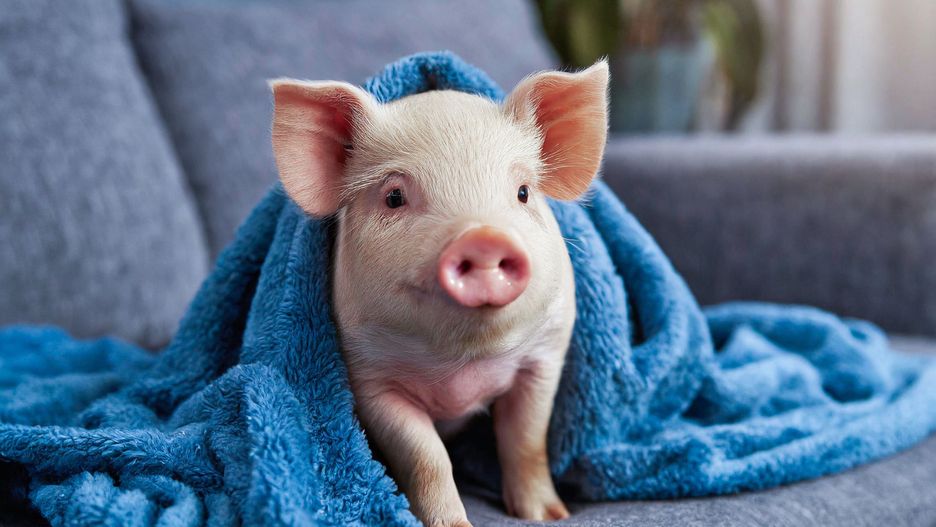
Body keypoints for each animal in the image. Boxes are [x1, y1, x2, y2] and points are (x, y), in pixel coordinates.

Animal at [270, 60, 609, 527]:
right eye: (394, 197)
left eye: (523, 192)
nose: (483, 238)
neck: (461, 361)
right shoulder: (369, 380)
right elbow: (426, 457)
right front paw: (453, 524)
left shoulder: (547, 354)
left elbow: (526, 438)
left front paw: (549, 516)